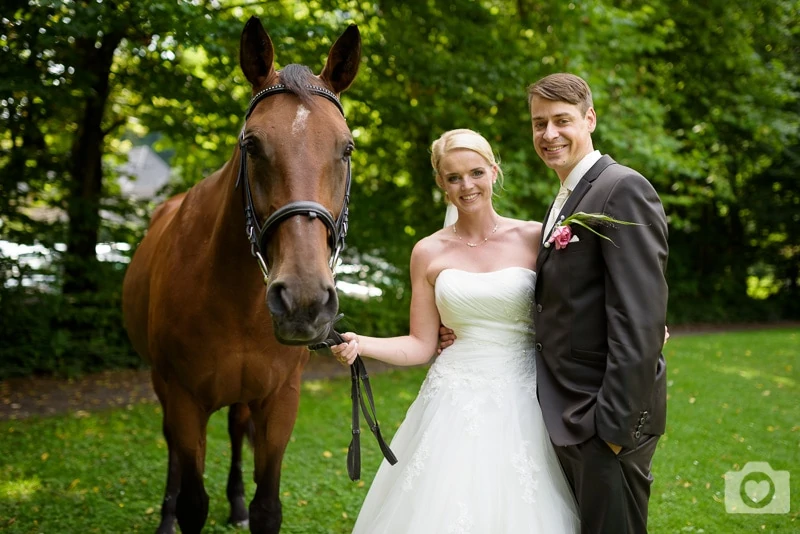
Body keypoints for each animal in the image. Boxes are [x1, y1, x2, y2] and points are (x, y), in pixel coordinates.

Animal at [121, 16, 360, 534]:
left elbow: (267, 507)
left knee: (233, 431)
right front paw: (177, 512)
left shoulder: (280, 402)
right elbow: (192, 501)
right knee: (175, 452)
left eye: (347, 148)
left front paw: (245, 506)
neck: (233, 298)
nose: (304, 302)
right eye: (251, 145)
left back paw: (233, 503)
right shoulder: (184, 400)